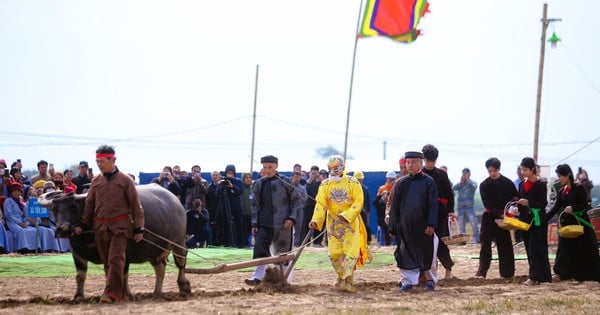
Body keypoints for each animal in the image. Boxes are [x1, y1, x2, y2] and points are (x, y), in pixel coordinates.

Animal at [39, 184, 190, 302]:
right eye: (54, 210)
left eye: (74, 207)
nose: (62, 229)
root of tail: (176, 202)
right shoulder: (77, 253)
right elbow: (81, 275)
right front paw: (79, 297)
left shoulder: (123, 252)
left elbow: (121, 274)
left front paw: (126, 295)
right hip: (155, 251)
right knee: (160, 268)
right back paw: (157, 293)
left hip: (178, 242)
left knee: (181, 262)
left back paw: (184, 287)